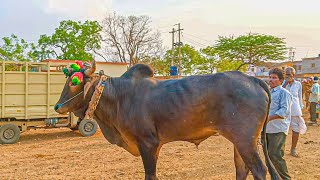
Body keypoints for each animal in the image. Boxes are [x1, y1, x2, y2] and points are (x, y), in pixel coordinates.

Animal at [55, 62, 280, 179]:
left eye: (74, 81)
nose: (57, 107)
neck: (119, 97)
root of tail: (253, 79)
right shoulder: (154, 146)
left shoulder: (148, 143)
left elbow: (150, 175)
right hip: (241, 141)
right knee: (242, 168)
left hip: (245, 140)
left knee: (259, 170)